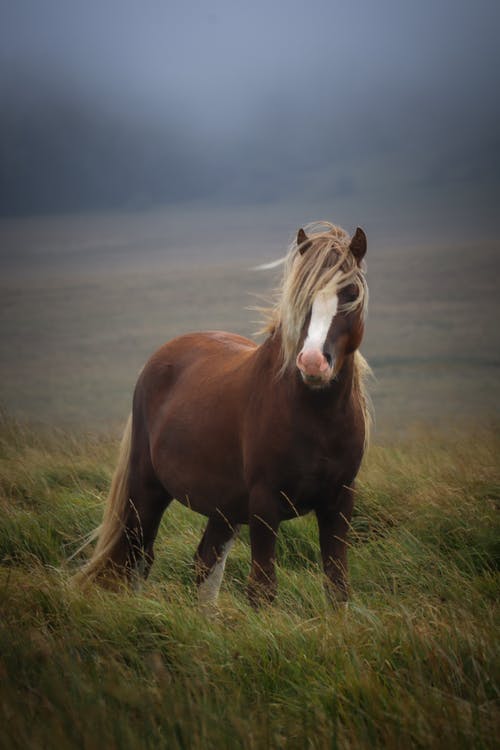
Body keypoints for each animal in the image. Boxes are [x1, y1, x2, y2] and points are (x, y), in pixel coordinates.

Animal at [75, 223, 372, 612]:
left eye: (350, 292)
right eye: (301, 296)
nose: (312, 363)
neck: (316, 419)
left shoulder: (339, 501)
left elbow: (337, 587)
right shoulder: (264, 503)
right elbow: (262, 589)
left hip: (225, 506)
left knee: (205, 564)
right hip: (147, 489)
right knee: (139, 557)